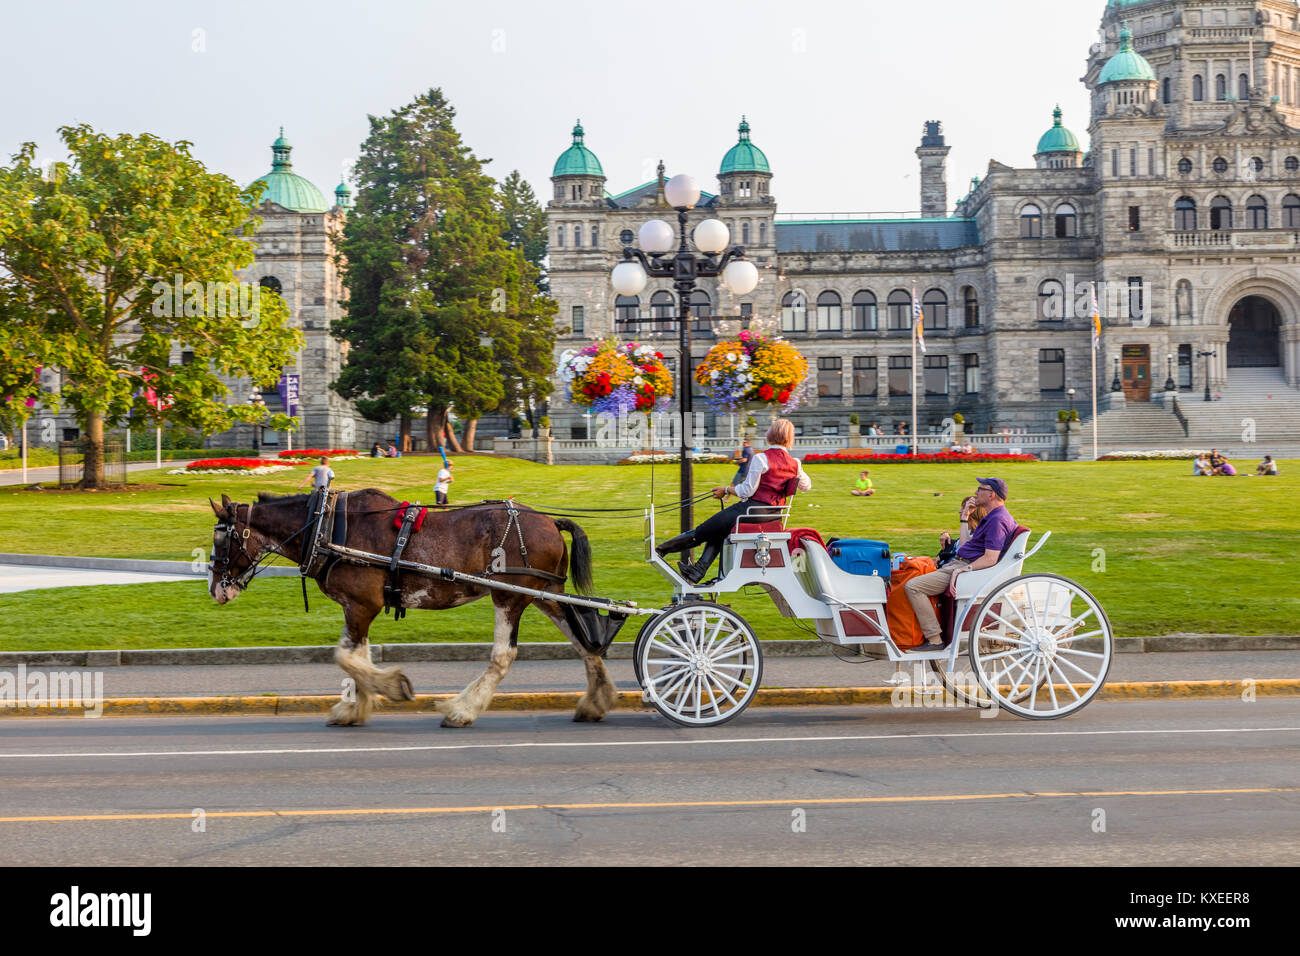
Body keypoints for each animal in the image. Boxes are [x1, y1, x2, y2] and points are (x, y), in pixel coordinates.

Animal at [209, 489, 618, 728]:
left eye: (221, 540)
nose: (215, 589)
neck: (326, 527)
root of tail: (549, 521)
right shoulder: (359, 608)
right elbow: (357, 657)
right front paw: (355, 708)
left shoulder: (362, 604)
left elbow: (345, 657)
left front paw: (393, 687)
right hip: (547, 593)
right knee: (586, 643)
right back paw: (596, 701)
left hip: (510, 596)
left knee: (504, 656)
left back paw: (462, 709)